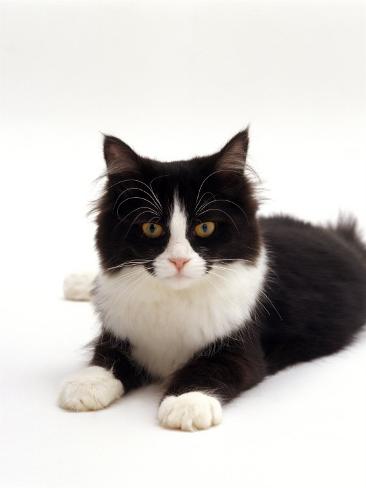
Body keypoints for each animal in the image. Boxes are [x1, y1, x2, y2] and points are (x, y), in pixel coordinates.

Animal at [58, 130, 366, 430]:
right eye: (151, 228)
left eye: (205, 227)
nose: (179, 260)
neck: (175, 298)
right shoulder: (120, 329)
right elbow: (105, 357)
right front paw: (86, 385)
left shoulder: (240, 346)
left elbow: (207, 369)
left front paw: (187, 403)